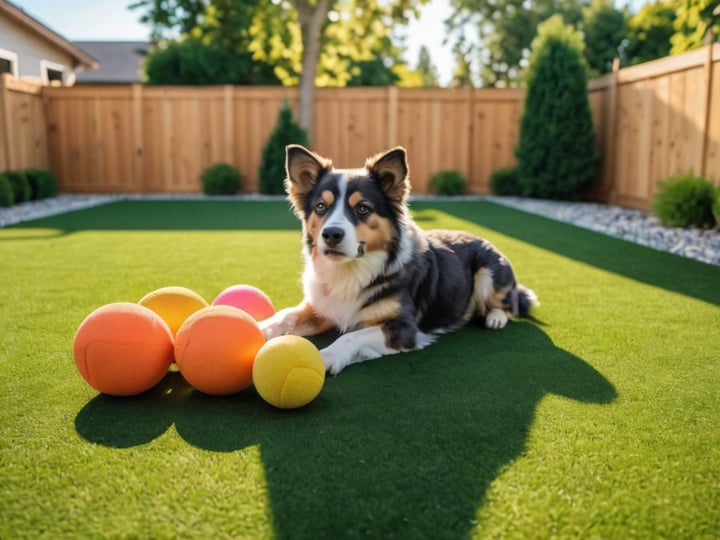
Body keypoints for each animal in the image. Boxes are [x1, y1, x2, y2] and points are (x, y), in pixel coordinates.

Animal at [262, 143, 536, 374]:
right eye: (321, 206)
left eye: (363, 208)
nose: (331, 234)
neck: (352, 271)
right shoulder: (322, 306)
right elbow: (286, 315)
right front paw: (260, 327)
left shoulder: (404, 328)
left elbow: (351, 336)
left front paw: (327, 356)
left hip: (489, 271)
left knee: (510, 303)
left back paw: (495, 317)